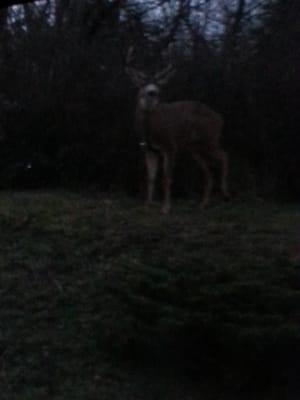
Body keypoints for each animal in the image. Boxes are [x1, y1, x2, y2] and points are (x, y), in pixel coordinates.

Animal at [125, 46, 229, 212]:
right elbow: (151, 177)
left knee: (224, 155)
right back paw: (203, 203)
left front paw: (166, 208)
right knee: (208, 170)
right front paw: (147, 205)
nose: (153, 93)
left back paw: (225, 194)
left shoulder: (170, 145)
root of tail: (220, 118)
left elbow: (167, 177)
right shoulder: (149, 149)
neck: (151, 129)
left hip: (210, 138)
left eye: (158, 85)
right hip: (194, 147)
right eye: (142, 84)